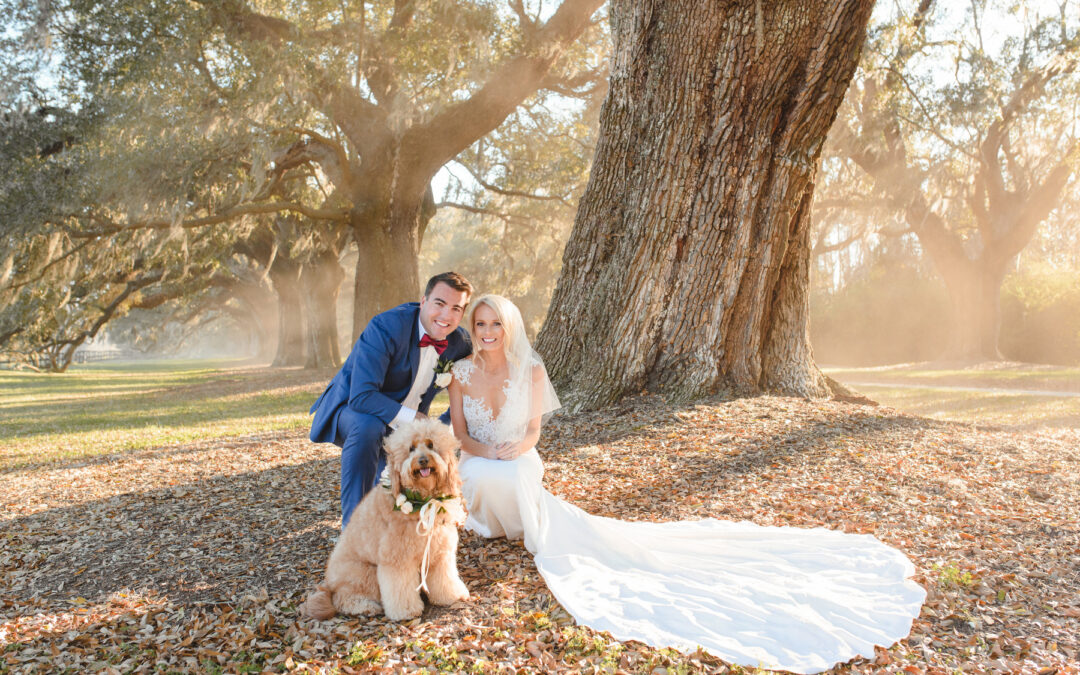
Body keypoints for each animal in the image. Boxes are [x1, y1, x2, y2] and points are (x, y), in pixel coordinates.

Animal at [300, 419, 468, 617]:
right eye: (411, 448)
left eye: (431, 445)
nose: (423, 460)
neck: (423, 502)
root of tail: (328, 585)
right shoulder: (397, 559)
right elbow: (400, 588)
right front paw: (406, 611)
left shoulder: (439, 554)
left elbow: (444, 578)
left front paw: (451, 596)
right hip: (364, 573)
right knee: (342, 599)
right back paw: (365, 606)